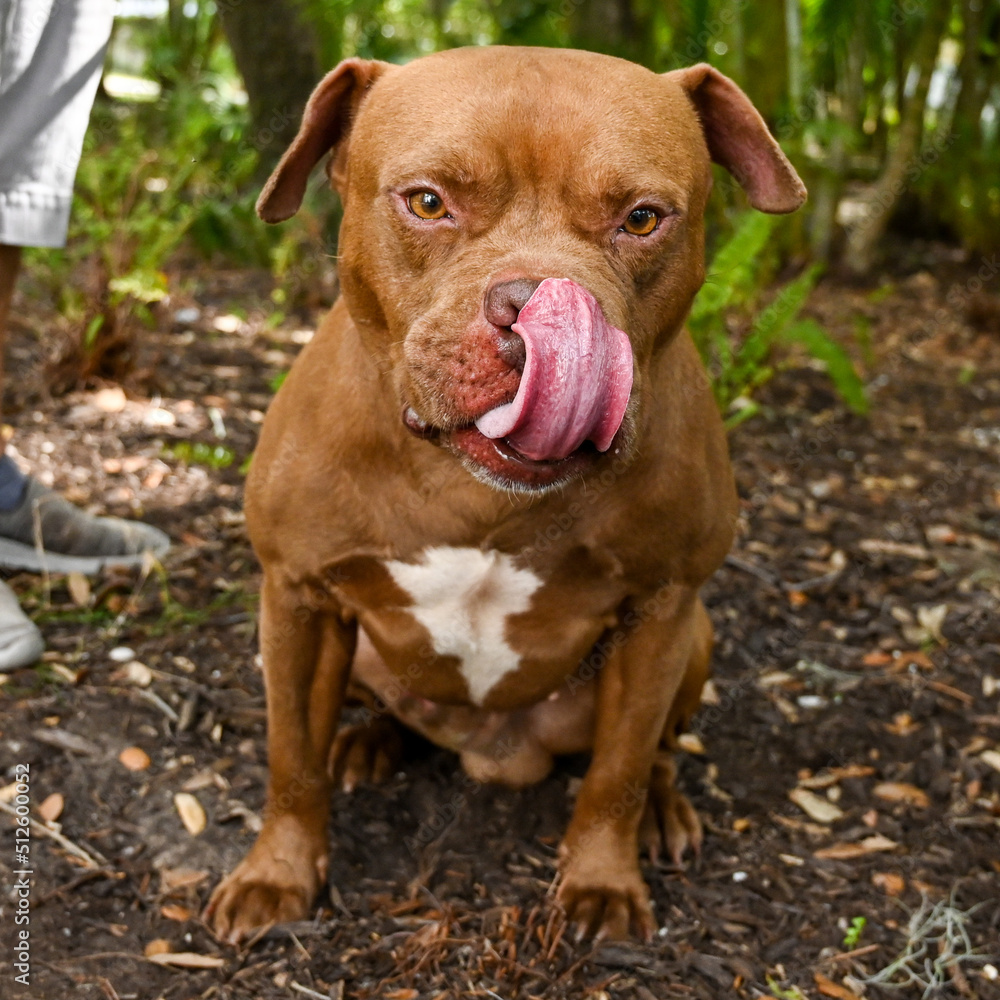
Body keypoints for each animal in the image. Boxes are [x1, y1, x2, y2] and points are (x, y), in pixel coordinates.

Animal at [203, 43, 804, 940]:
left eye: (642, 219)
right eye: (427, 202)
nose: (532, 307)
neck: (476, 488)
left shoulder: (662, 609)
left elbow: (620, 769)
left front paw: (604, 880)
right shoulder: (296, 598)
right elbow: (290, 758)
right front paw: (277, 874)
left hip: (695, 638)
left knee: (657, 750)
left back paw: (662, 812)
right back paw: (368, 743)